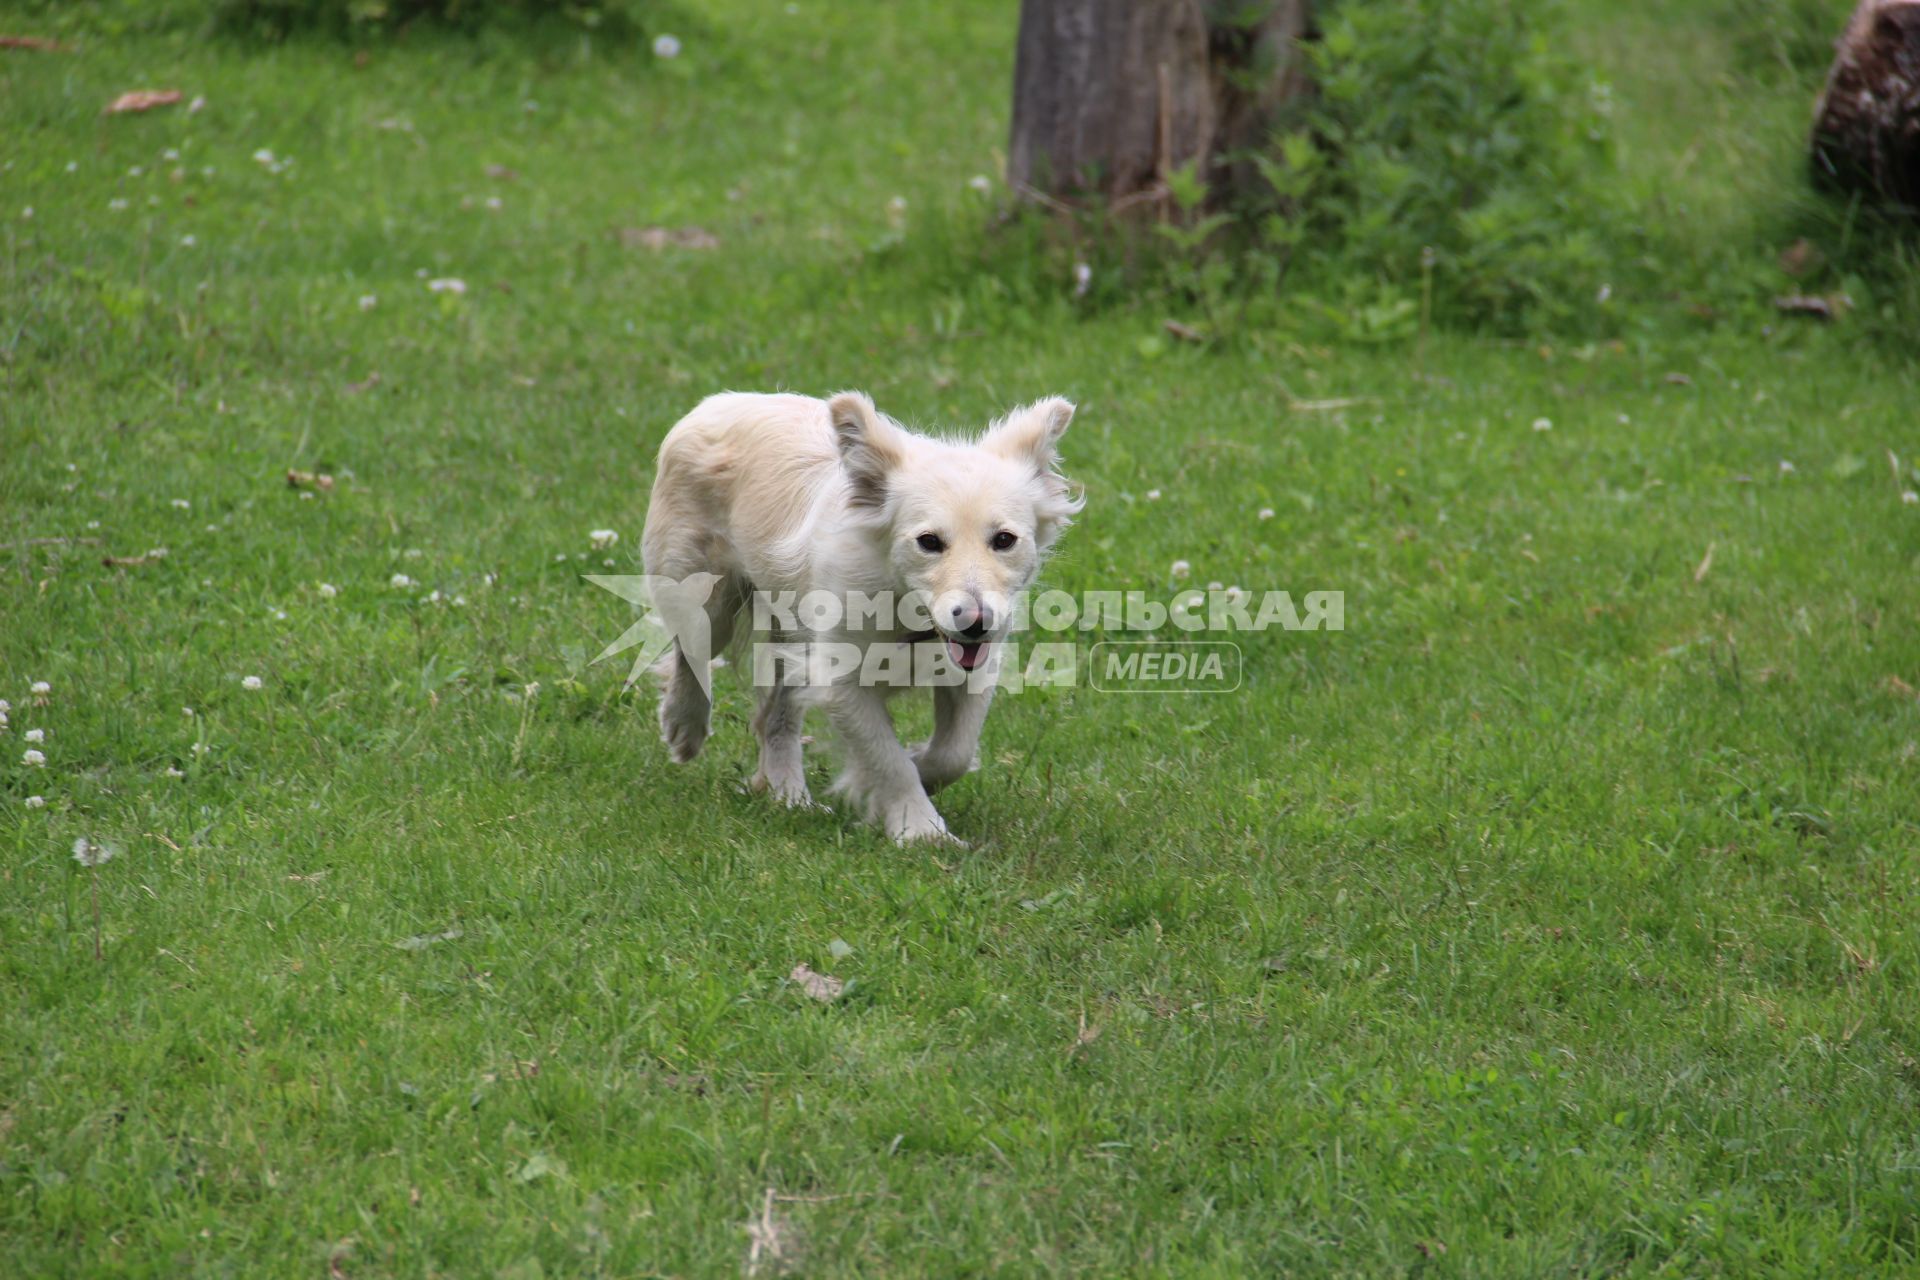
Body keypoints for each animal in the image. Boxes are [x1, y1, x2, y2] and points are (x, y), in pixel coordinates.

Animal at [641, 395, 1082, 844]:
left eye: (1004, 540)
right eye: (929, 542)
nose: (975, 622)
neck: (905, 606)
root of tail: (724, 400)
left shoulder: (975, 668)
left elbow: (953, 753)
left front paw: (921, 768)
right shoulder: (843, 681)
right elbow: (887, 759)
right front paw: (922, 831)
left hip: (792, 637)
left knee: (775, 719)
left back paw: (788, 795)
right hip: (704, 596)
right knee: (690, 654)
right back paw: (684, 725)